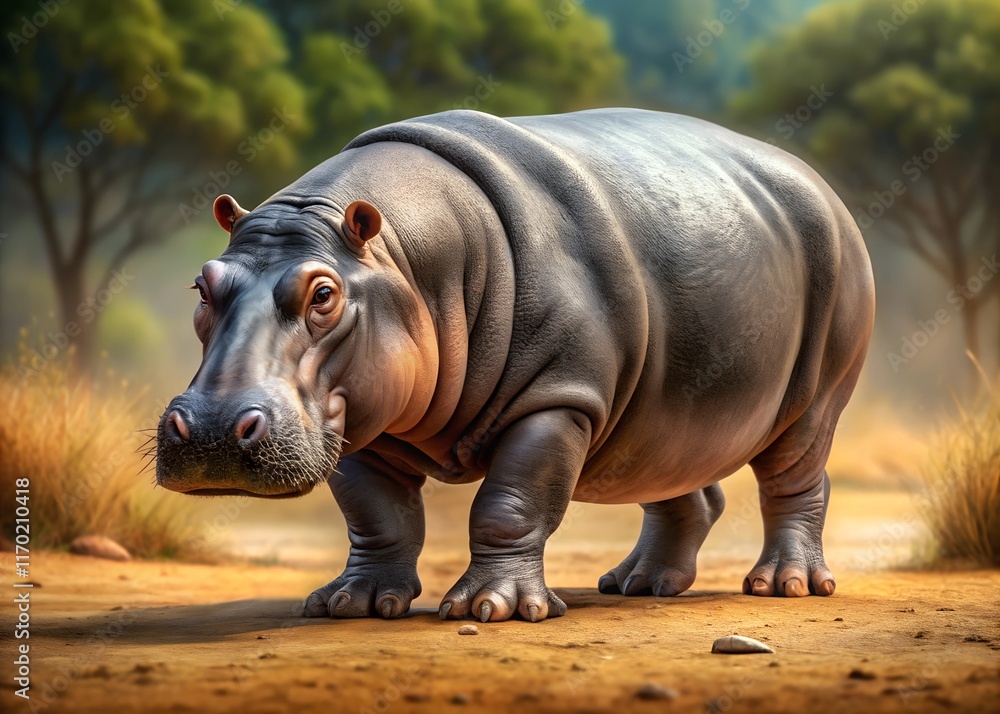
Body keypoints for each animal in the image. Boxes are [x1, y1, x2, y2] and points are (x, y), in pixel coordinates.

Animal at [156, 108, 875, 622]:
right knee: (680, 481)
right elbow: (375, 513)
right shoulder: (359, 413)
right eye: (202, 285)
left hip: (817, 391)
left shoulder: (557, 396)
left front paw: (489, 609)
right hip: (664, 409)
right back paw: (635, 586)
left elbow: (510, 502)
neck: (401, 259)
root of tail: (823, 186)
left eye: (324, 294)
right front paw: (348, 605)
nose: (213, 428)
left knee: (796, 478)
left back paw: (784, 587)